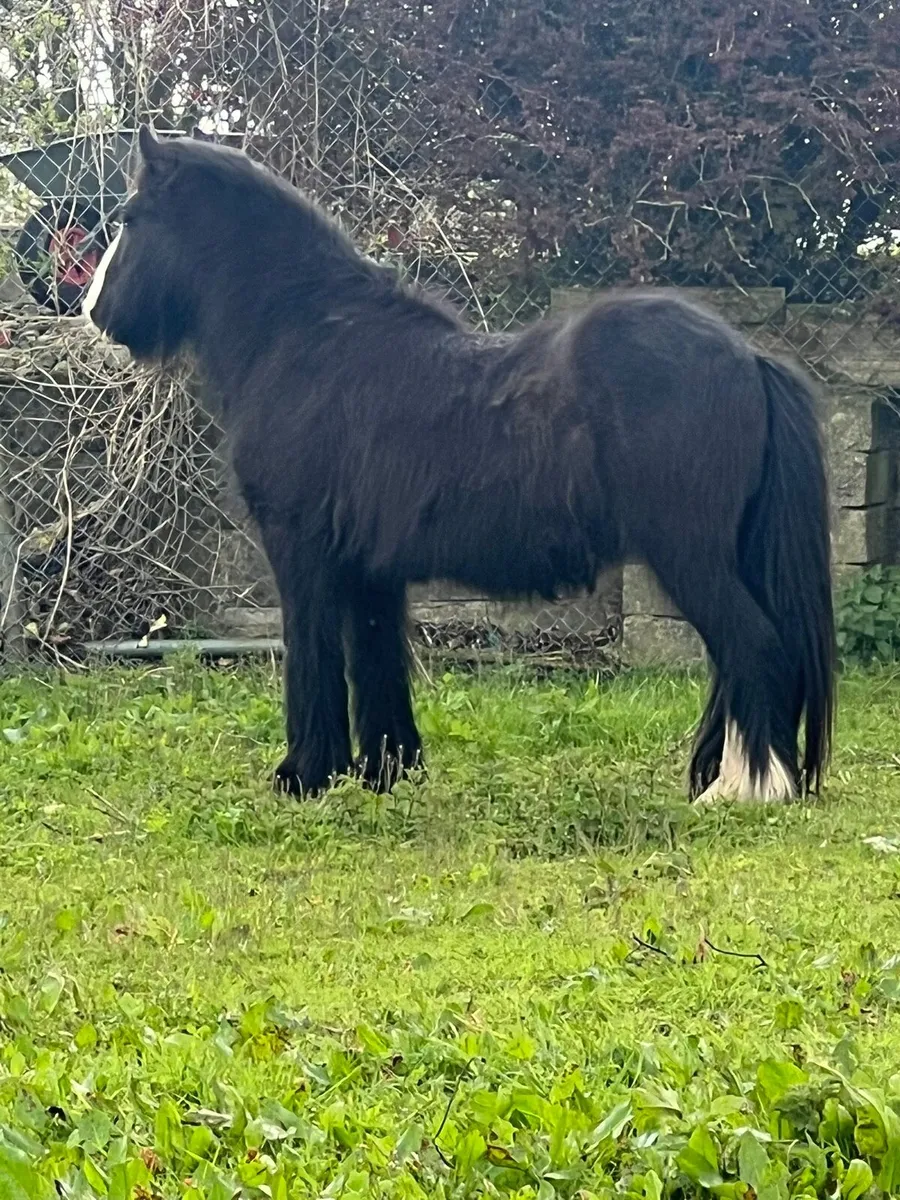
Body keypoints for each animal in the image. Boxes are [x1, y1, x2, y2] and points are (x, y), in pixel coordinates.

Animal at [83, 125, 835, 803]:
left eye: (129, 218)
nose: (95, 310)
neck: (308, 338)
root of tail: (749, 357)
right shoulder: (370, 569)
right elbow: (378, 662)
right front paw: (386, 773)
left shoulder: (301, 551)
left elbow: (315, 657)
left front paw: (305, 775)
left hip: (689, 555)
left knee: (755, 647)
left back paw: (747, 789)